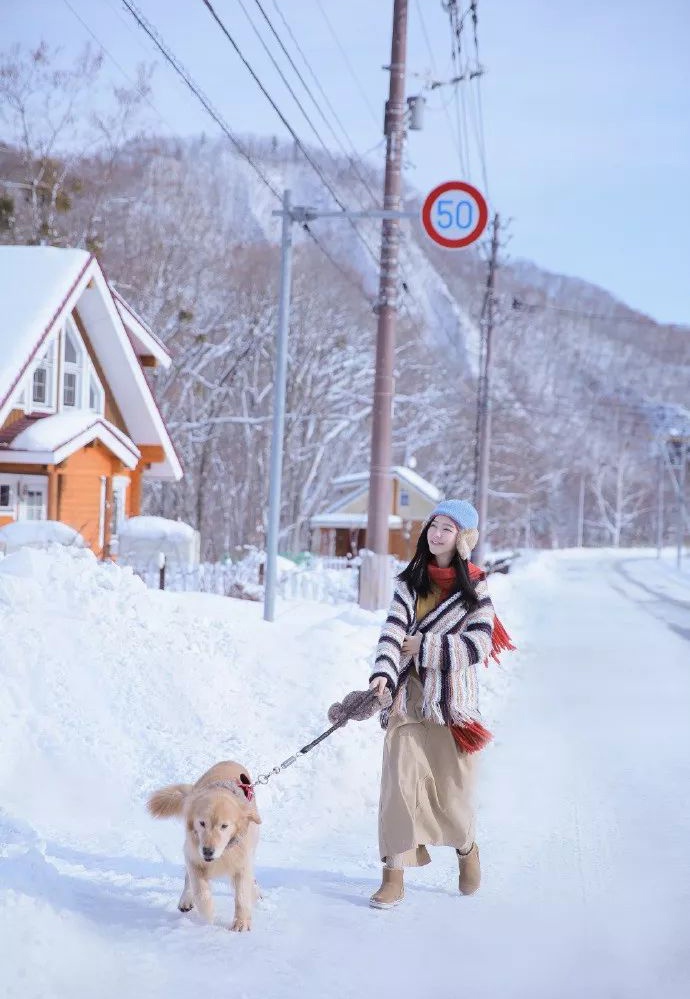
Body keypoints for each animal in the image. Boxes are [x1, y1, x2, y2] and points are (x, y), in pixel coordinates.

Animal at [146, 760, 262, 932]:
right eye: (202, 823)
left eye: (224, 826)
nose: (207, 851)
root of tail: (229, 761)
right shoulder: (193, 856)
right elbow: (199, 889)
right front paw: (208, 915)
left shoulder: (242, 861)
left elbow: (242, 894)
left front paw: (241, 923)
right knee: (188, 879)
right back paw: (186, 901)